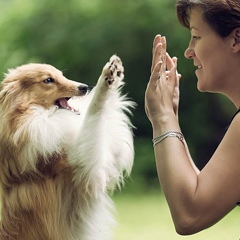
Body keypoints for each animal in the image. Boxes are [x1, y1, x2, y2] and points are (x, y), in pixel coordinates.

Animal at [0, 55, 135, 239]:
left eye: (61, 75)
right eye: (48, 80)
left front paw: (115, 73)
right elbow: (94, 111)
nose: (84, 87)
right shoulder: (85, 168)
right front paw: (106, 80)